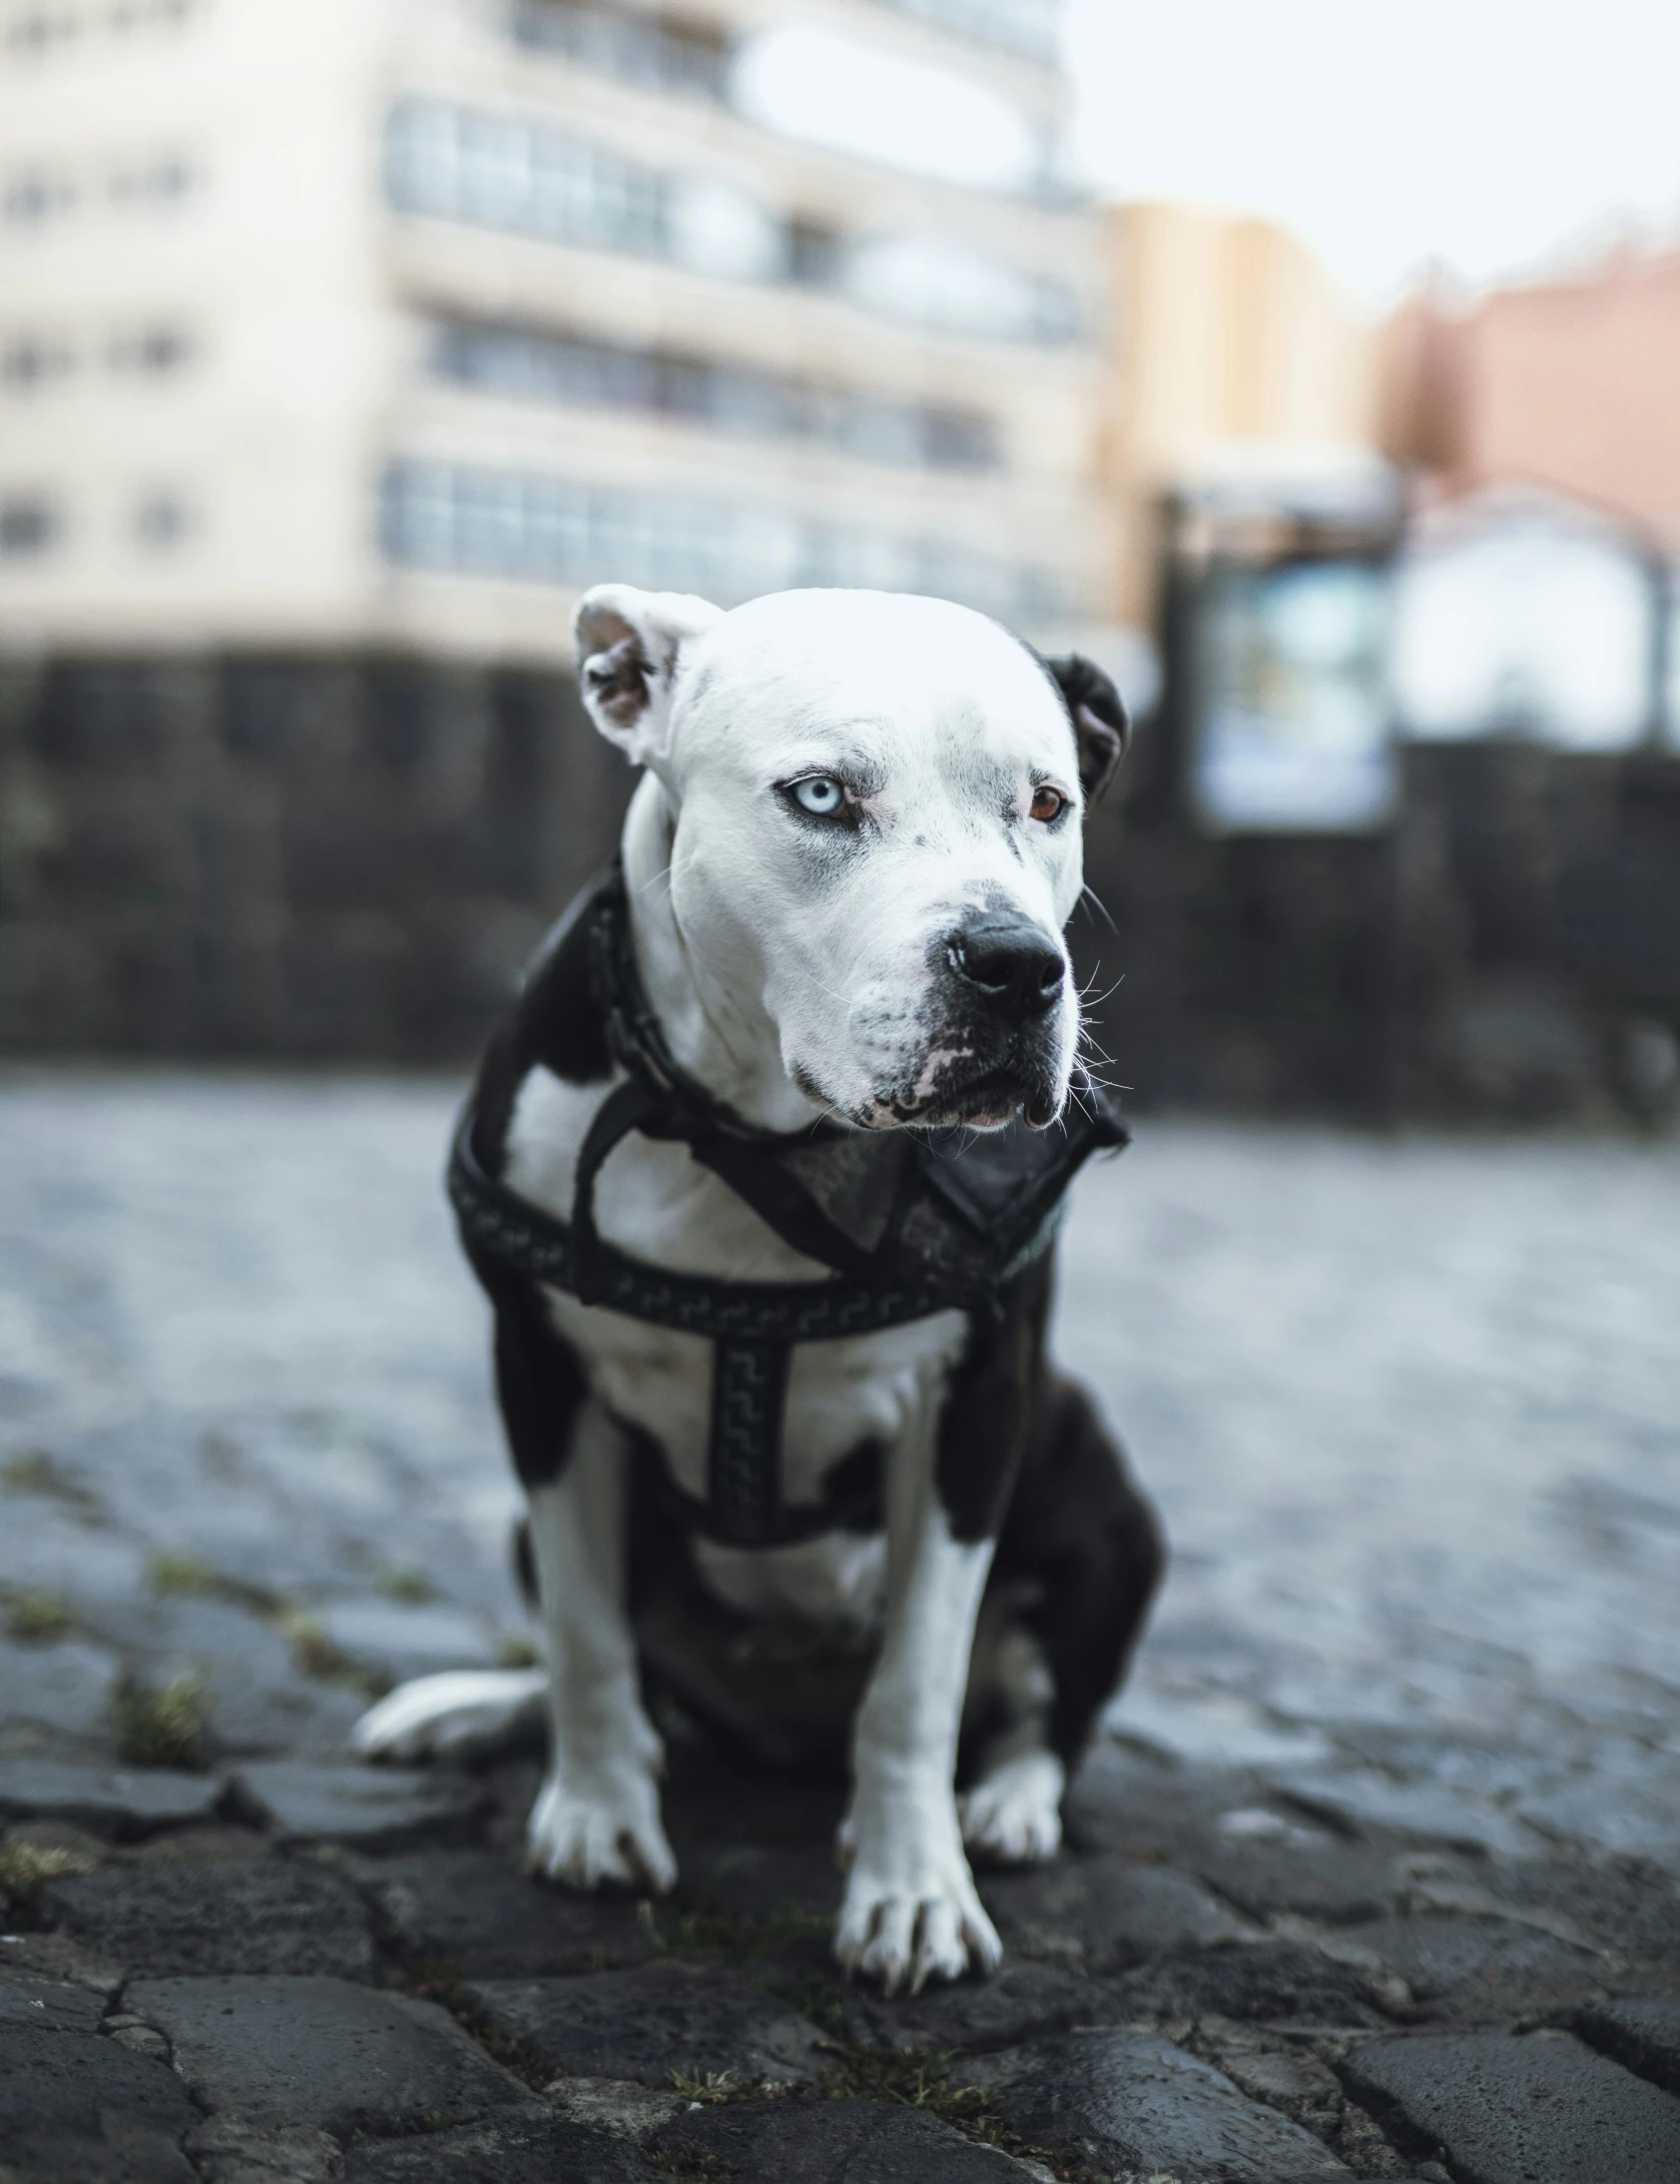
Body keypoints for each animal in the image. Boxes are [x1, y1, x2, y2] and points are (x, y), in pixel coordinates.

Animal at [357, 581, 1153, 2000]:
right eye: (823, 796)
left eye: (1049, 802)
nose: (1015, 964)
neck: (757, 1143)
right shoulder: (540, 1381)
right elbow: (587, 1630)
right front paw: (595, 1814)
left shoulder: (978, 1409)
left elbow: (917, 1680)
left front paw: (912, 1889)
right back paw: (472, 1709)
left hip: (1106, 1502)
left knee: (1046, 1705)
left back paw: (1007, 1803)